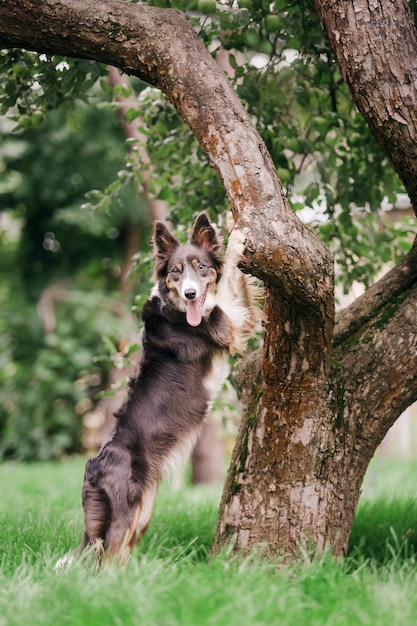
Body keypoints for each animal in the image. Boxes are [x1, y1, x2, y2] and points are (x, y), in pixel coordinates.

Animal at [75, 212, 258, 564]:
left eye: (200, 267)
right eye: (175, 272)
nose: (190, 294)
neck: (181, 310)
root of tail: (93, 467)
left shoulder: (236, 319)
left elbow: (237, 283)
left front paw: (232, 223)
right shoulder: (227, 326)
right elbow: (228, 276)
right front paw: (236, 240)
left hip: (141, 515)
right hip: (125, 515)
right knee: (106, 561)